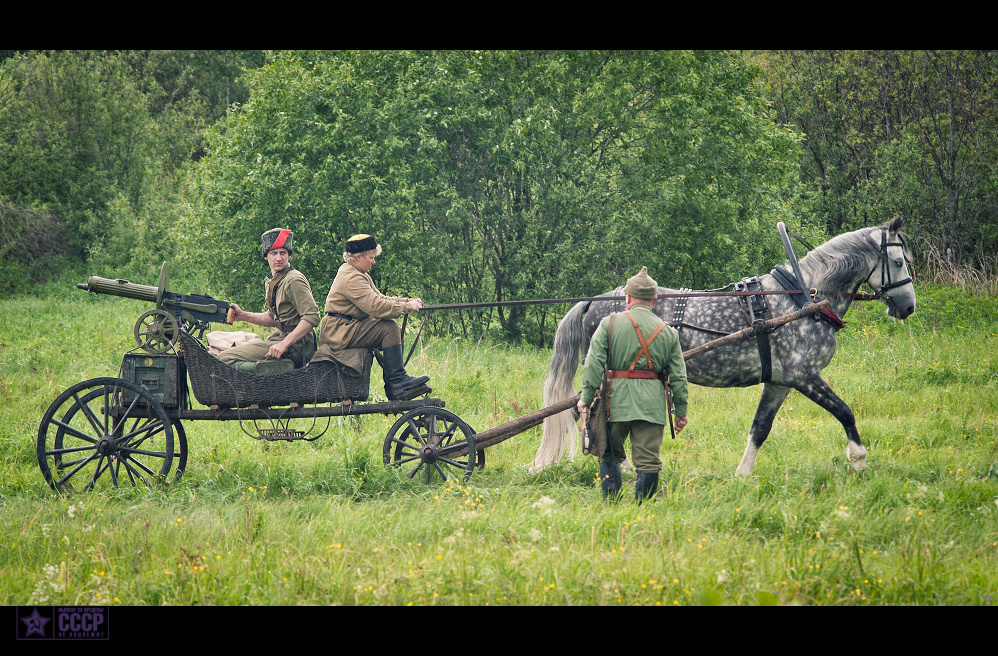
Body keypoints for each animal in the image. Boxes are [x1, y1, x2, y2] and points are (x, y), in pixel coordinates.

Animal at [536, 218, 916, 474]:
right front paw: (859, 460)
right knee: (587, 413)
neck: (802, 296)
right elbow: (845, 411)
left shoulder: (780, 382)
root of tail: (592, 302)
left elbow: (760, 428)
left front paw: (742, 474)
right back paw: (623, 467)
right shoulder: (805, 375)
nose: (909, 306)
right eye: (898, 262)